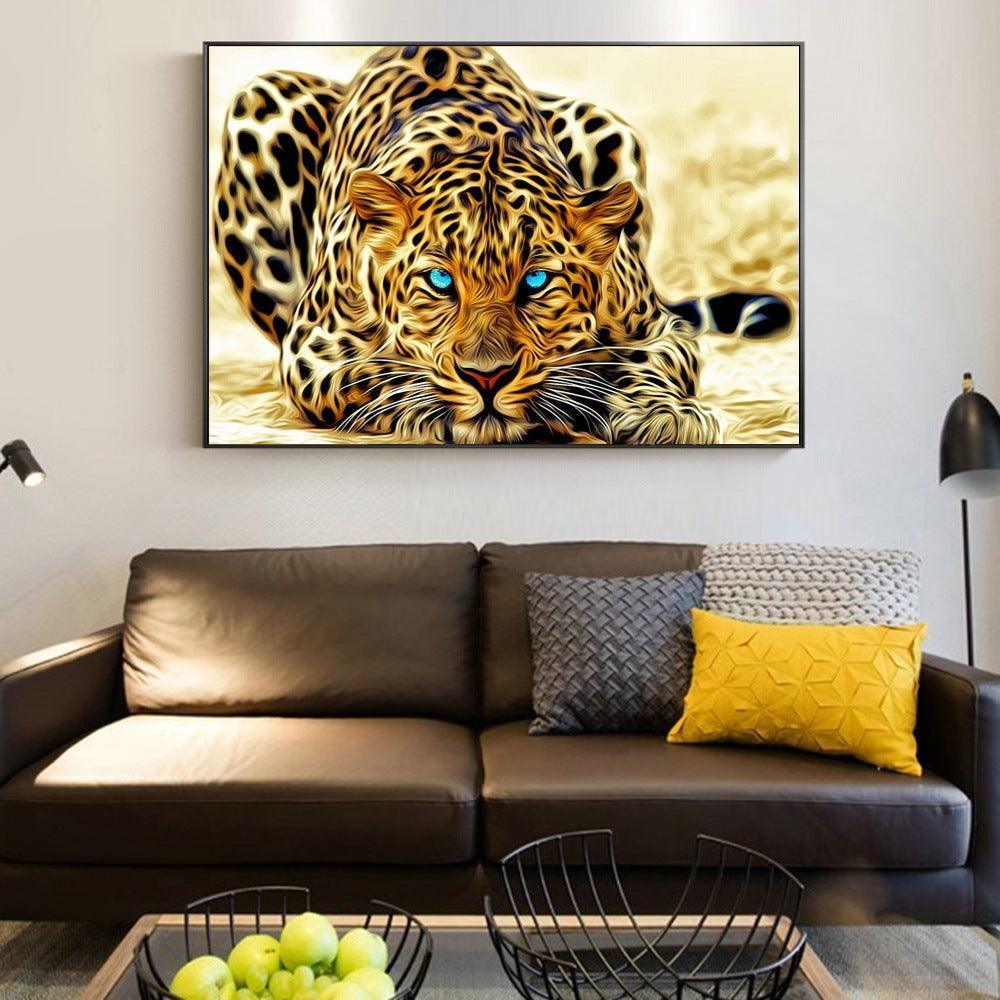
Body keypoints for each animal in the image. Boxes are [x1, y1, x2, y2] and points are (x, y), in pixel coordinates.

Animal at [212, 44, 792, 445]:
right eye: (439, 280)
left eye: (536, 281)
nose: (486, 378)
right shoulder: (312, 347)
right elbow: (374, 373)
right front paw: (428, 407)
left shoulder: (658, 328)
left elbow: (646, 363)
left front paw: (663, 413)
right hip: (260, 101)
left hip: (605, 124)